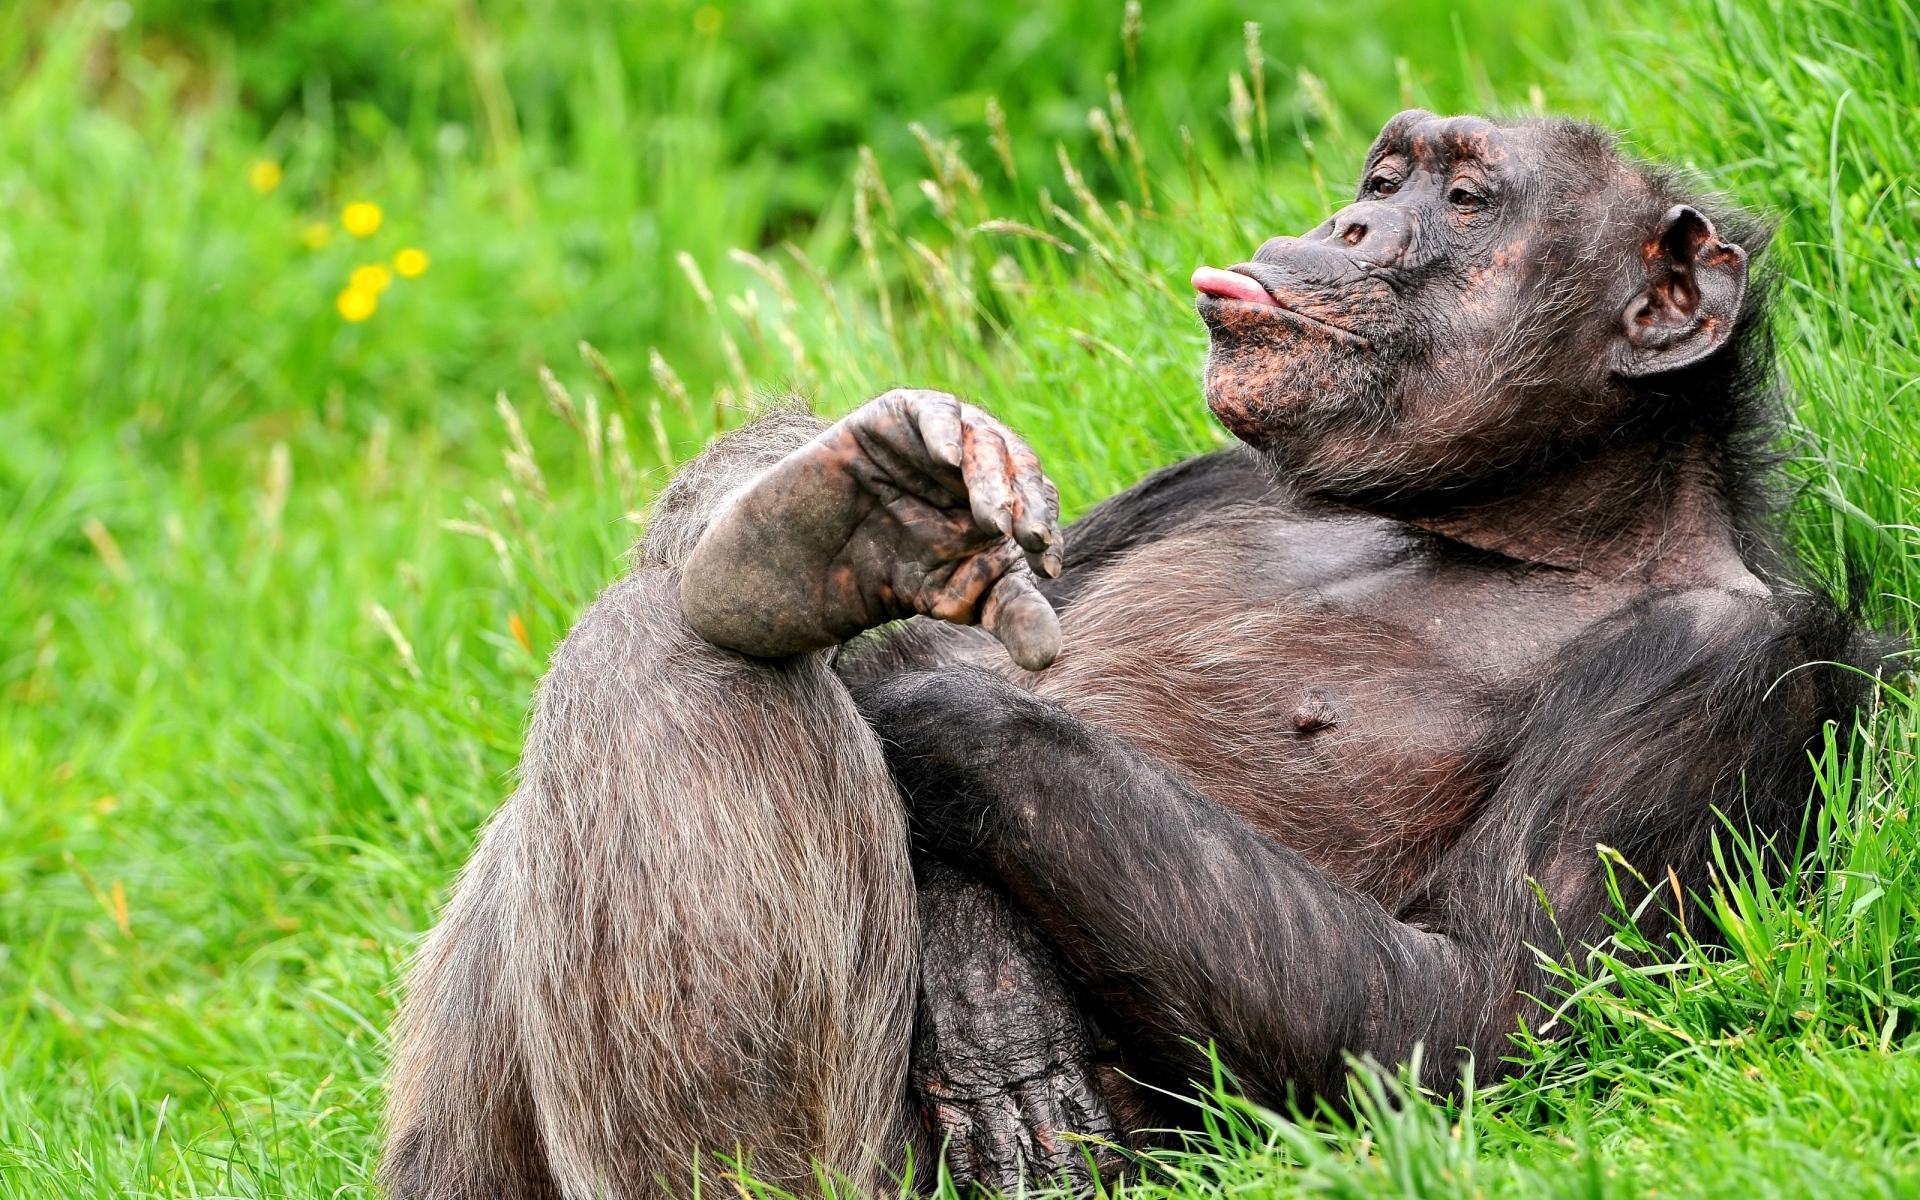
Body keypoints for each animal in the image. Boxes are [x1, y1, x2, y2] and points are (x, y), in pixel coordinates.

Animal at [382, 112, 1866, 1198]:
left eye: (1465, 202)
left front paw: (927, 706)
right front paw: (871, 516)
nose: (1351, 222)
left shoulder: (1713, 671)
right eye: (1386, 177)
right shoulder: (1200, 480)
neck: (1499, 523)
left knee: (675, 665)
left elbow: (1469, 1018)